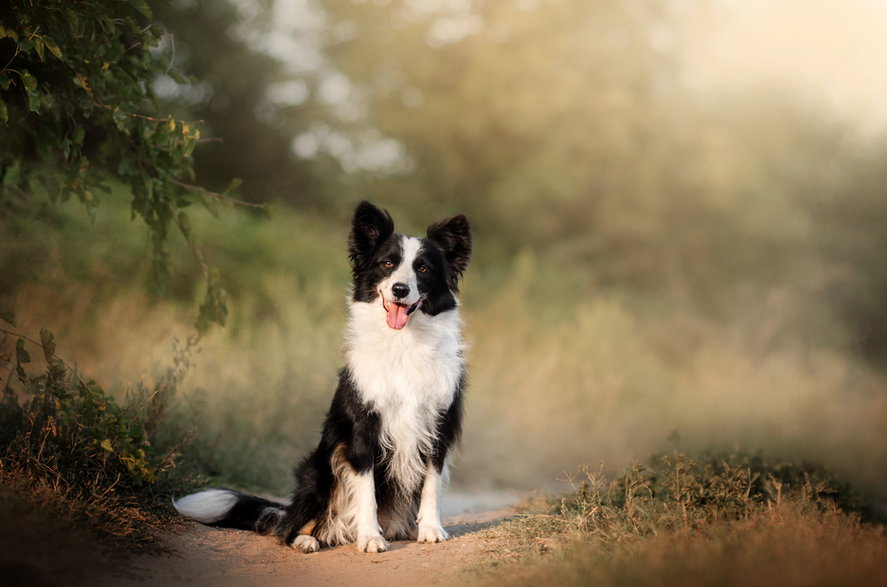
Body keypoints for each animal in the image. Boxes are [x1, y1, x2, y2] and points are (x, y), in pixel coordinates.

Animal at [176, 202, 476, 556]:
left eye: (424, 269)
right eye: (387, 264)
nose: (400, 290)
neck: (403, 342)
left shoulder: (437, 423)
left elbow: (431, 481)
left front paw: (430, 529)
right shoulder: (362, 429)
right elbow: (367, 490)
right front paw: (370, 537)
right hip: (319, 471)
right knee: (290, 527)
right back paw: (308, 538)